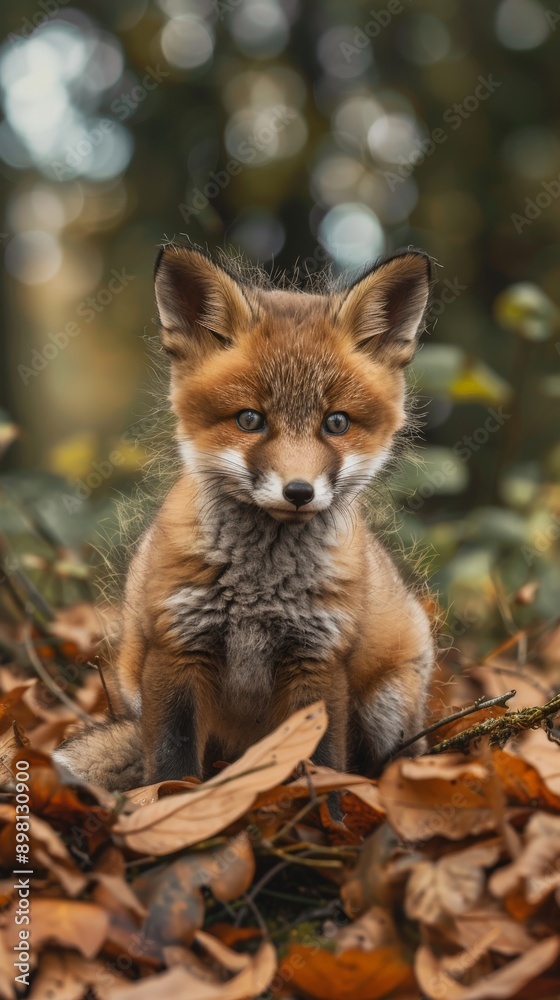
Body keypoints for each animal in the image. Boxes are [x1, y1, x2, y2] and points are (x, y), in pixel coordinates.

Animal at [54, 243, 436, 792]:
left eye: (336, 423)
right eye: (250, 419)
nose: (298, 491)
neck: (261, 589)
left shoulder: (317, 657)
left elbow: (323, 758)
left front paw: (324, 805)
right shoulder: (177, 646)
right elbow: (170, 764)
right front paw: (171, 803)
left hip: (389, 705)